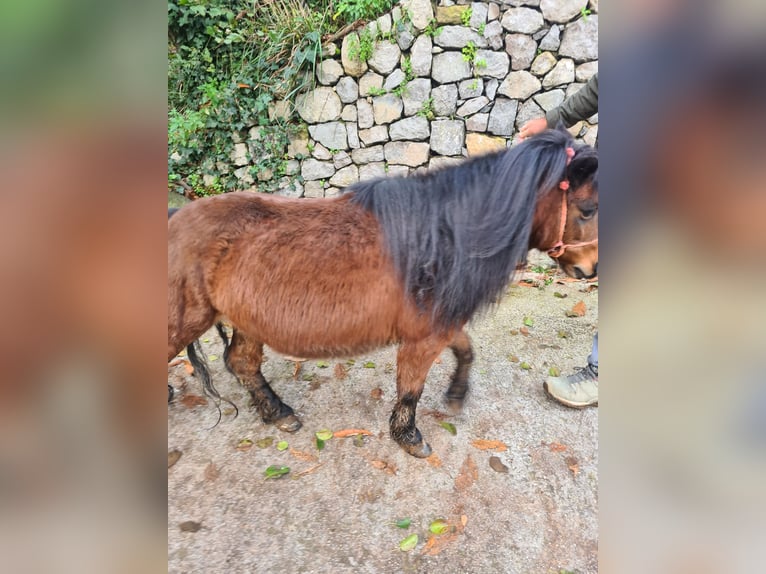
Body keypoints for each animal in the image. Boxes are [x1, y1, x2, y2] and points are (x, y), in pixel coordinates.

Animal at [170, 129, 600, 460]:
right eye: (589, 209)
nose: (591, 268)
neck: (439, 235)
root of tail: (175, 217)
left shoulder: (440, 324)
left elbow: (465, 351)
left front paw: (456, 394)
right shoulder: (423, 338)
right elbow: (411, 390)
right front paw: (408, 436)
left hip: (247, 321)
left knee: (242, 364)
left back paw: (278, 413)